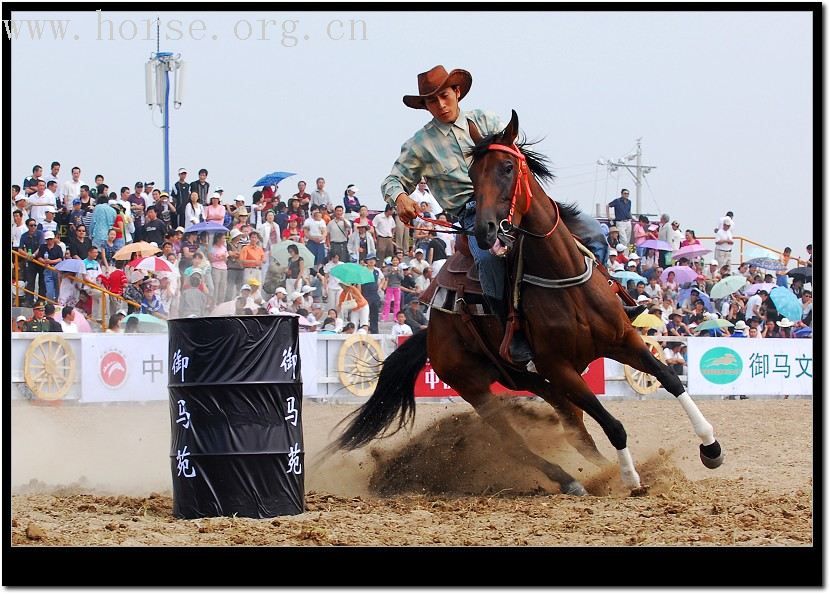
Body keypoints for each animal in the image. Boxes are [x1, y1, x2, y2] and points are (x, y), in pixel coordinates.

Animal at [334, 108, 724, 492]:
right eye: (472, 174)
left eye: (507, 168)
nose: (485, 229)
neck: (563, 279)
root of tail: (431, 332)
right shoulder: (559, 367)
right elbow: (612, 423)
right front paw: (630, 478)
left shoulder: (622, 340)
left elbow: (670, 379)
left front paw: (711, 447)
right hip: (476, 386)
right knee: (516, 442)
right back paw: (572, 480)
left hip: (527, 379)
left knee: (575, 430)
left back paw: (599, 472)